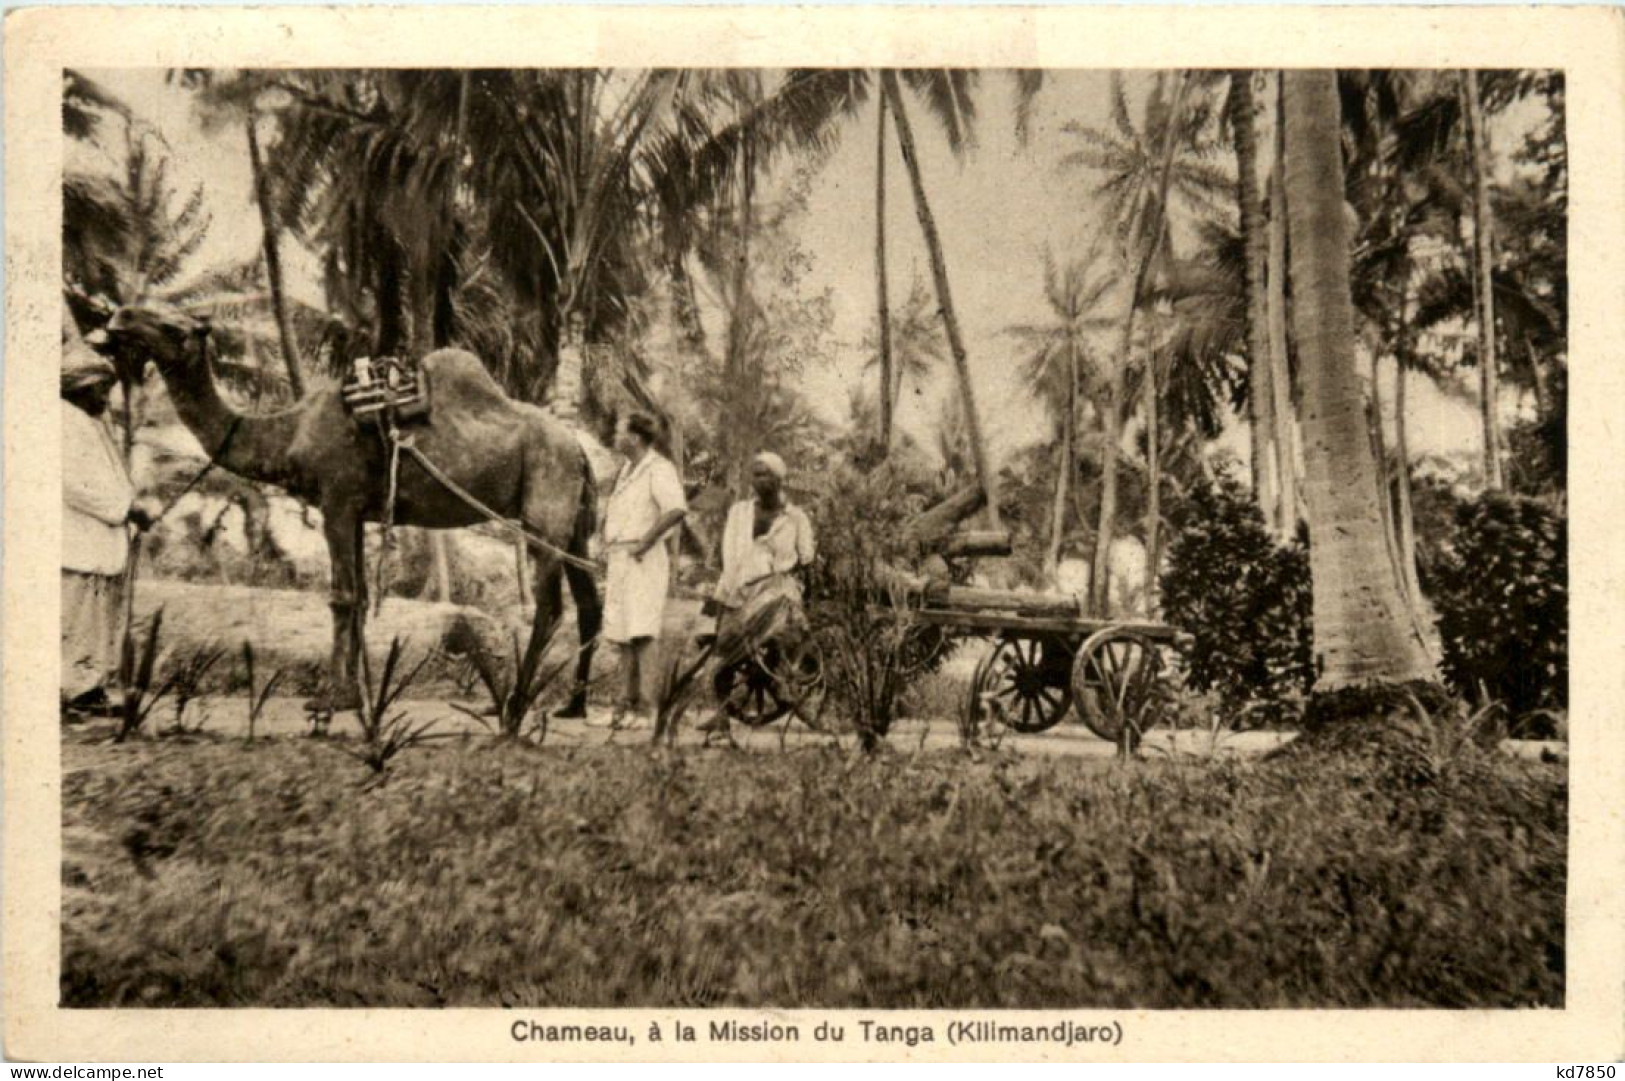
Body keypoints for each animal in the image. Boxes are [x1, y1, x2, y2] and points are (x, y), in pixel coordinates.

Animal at [106, 299, 604, 711]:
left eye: (172, 326)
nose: (118, 317)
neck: (289, 433)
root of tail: (579, 449)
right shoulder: (359, 510)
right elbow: (361, 597)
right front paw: (357, 695)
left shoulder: (337, 500)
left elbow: (342, 598)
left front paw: (332, 697)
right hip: (573, 521)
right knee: (589, 603)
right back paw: (571, 706)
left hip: (546, 504)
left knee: (551, 606)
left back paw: (515, 704)